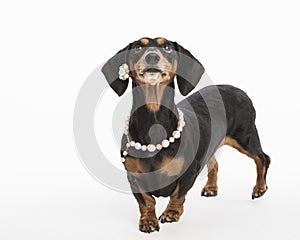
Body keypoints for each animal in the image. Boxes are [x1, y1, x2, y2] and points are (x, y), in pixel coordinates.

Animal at [102, 37, 270, 232]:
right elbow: (146, 200)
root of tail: (239, 90)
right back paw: (211, 187)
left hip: (245, 138)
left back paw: (260, 188)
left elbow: (178, 194)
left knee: (262, 158)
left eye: (167, 47)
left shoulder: (189, 172)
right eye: (137, 47)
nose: (152, 57)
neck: (153, 125)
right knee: (215, 164)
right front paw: (148, 221)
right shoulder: (133, 176)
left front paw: (170, 213)